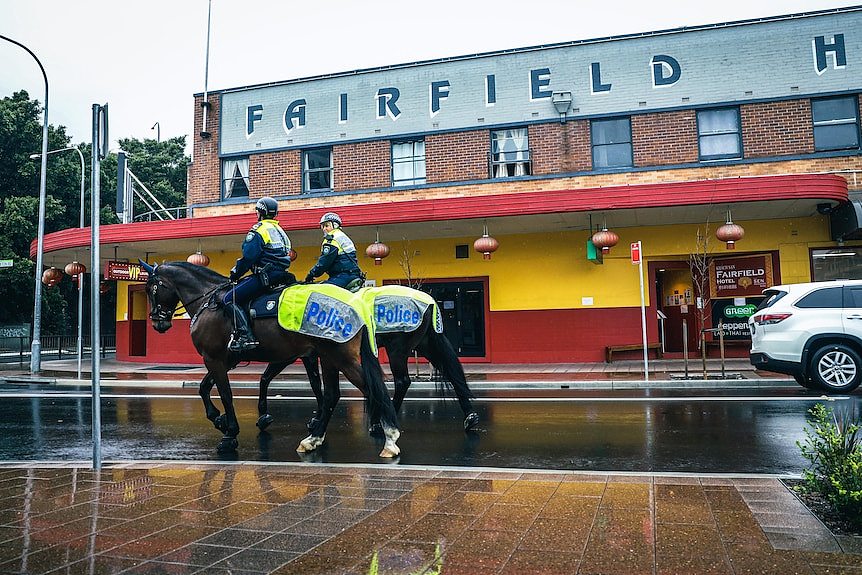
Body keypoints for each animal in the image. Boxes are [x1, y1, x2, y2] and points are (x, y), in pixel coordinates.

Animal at [140, 262, 404, 460]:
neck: (209, 301)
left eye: (151, 288)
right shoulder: (226, 359)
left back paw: (388, 438)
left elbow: (225, 393)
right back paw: (314, 438)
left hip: (342, 357)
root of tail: (356, 303)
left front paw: (230, 432)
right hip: (330, 357)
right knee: (333, 395)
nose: (157, 322)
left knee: (372, 390)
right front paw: (220, 419)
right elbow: (205, 388)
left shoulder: (214, 358)